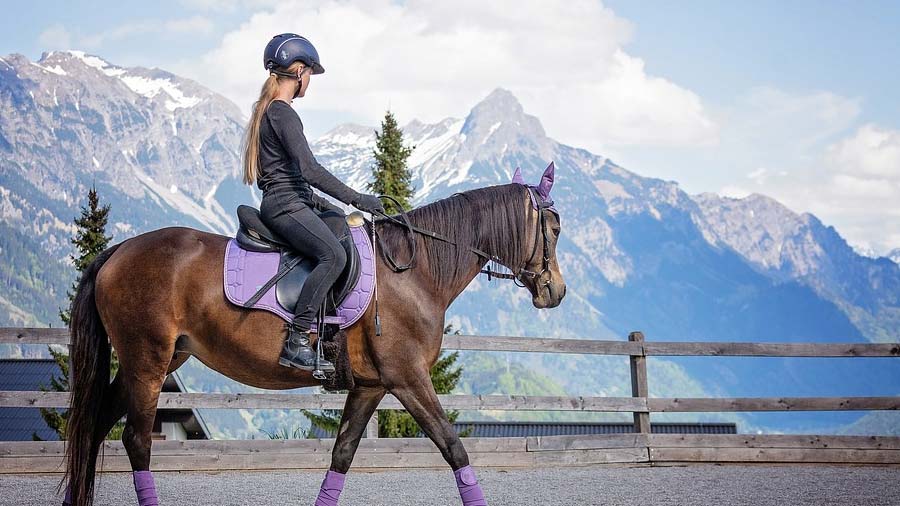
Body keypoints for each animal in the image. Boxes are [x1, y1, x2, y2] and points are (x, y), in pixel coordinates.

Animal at [63, 172, 568, 504]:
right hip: (147, 361)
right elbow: (452, 446)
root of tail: (118, 251)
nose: (556, 292)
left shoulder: (371, 386)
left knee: (92, 426)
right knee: (136, 441)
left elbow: (342, 455)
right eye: (555, 228)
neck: (415, 271)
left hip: (156, 361)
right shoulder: (408, 379)